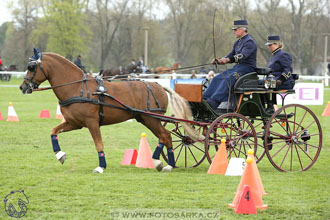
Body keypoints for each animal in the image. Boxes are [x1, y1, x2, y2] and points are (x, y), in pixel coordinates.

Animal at [21, 49, 201, 174]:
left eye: (32, 67)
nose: (22, 87)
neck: (77, 88)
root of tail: (157, 85)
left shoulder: (92, 123)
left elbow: (98, 144)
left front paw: (101, 167)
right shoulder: (74, 123)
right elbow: (53, 131)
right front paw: (60, 155)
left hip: (151, 118)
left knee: (165, 136)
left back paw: (168, 164)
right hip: (146, 118)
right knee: (164, 136)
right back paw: (159, 162)